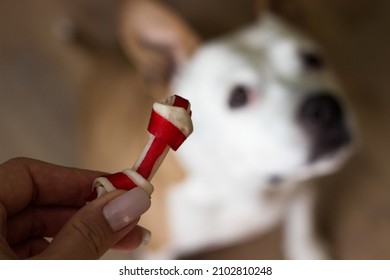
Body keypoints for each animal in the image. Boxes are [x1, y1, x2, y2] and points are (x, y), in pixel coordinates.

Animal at [112, 0, 354, 260]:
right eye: (238, 97)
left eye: (313, 60)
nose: (324, 107)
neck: (244, 185)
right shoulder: (158, 251)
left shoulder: (303, 189)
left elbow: (302, 225)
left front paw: (309, 252)